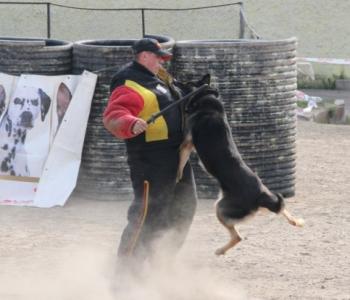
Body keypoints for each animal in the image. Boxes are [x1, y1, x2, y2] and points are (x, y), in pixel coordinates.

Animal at [176, 75, 304, 255]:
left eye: (186, 82)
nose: (174, 80)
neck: (206, 98)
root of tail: (260, 196)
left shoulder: (186, 144)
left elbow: (180, 163)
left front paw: (177, 177)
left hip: (221, 208)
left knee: (238, 237)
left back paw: (220, 250)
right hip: (265, 198)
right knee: (281, 208)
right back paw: (295, 220)